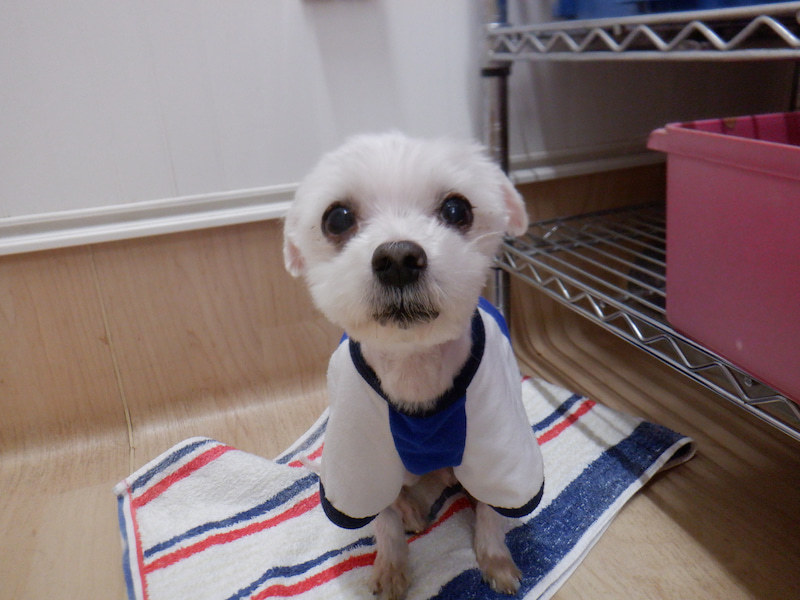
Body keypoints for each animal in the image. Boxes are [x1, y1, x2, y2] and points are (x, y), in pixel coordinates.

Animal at [283, 132, 544, 599]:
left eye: (457, 209)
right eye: (337, 218)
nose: (399, 258)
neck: (414, 365)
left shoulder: (498, 442)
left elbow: (492, 510)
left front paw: (496, 560)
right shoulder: (361, 451)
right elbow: (380, 518)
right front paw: (390, 567)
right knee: (400, 493)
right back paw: (410, 506)